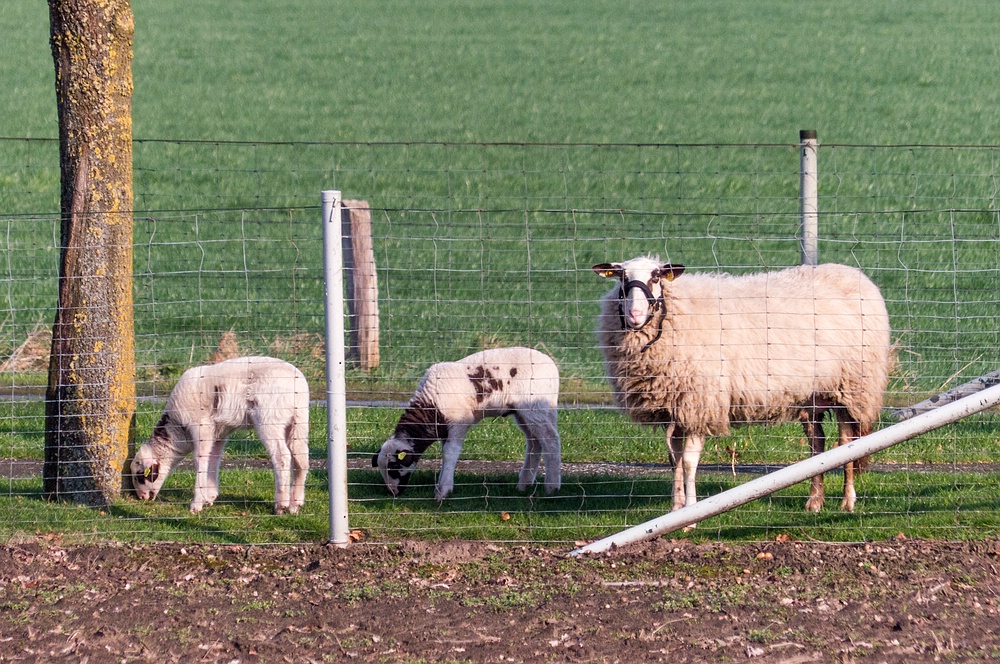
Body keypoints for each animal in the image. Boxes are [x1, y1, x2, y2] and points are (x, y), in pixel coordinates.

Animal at [131, 356, 308, 516]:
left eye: (140, 476)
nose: (141, 497)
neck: (177, 431)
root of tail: (298, 383)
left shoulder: (201, 427)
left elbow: (200, 460)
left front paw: (196, 504)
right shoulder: (219, 433)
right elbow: (213, 459)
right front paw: (209, 497)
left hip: (269, 418)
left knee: (282, 457)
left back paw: (281, 505)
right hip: (299, 421)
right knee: (301, 459)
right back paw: (295, 505)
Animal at [374, 348, 564, 498]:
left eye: (394, 467)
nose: (393, 493)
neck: (430, 407)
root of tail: (552, 368)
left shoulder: (458, 423)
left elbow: (450, 453)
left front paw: (443, 491)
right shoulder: (444, 430)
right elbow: (445, 453)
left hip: (534, 407)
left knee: (550, 439)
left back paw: (552, 487)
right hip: (526, 412)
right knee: (534, 443)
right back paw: (524, 485)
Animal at [592, 258, 892, 512]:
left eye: (655, 276)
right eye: (621, 277)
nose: (634, 314)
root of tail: (854, 273)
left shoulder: (701, 403)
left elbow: (688, 461)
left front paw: (690, 512)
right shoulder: (677, 406)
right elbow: (674, 459)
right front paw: (675, 509)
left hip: (853, 387)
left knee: (846, 443)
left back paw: (847, 501)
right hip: (813, 393)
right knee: (816, 443)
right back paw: (815, 502)